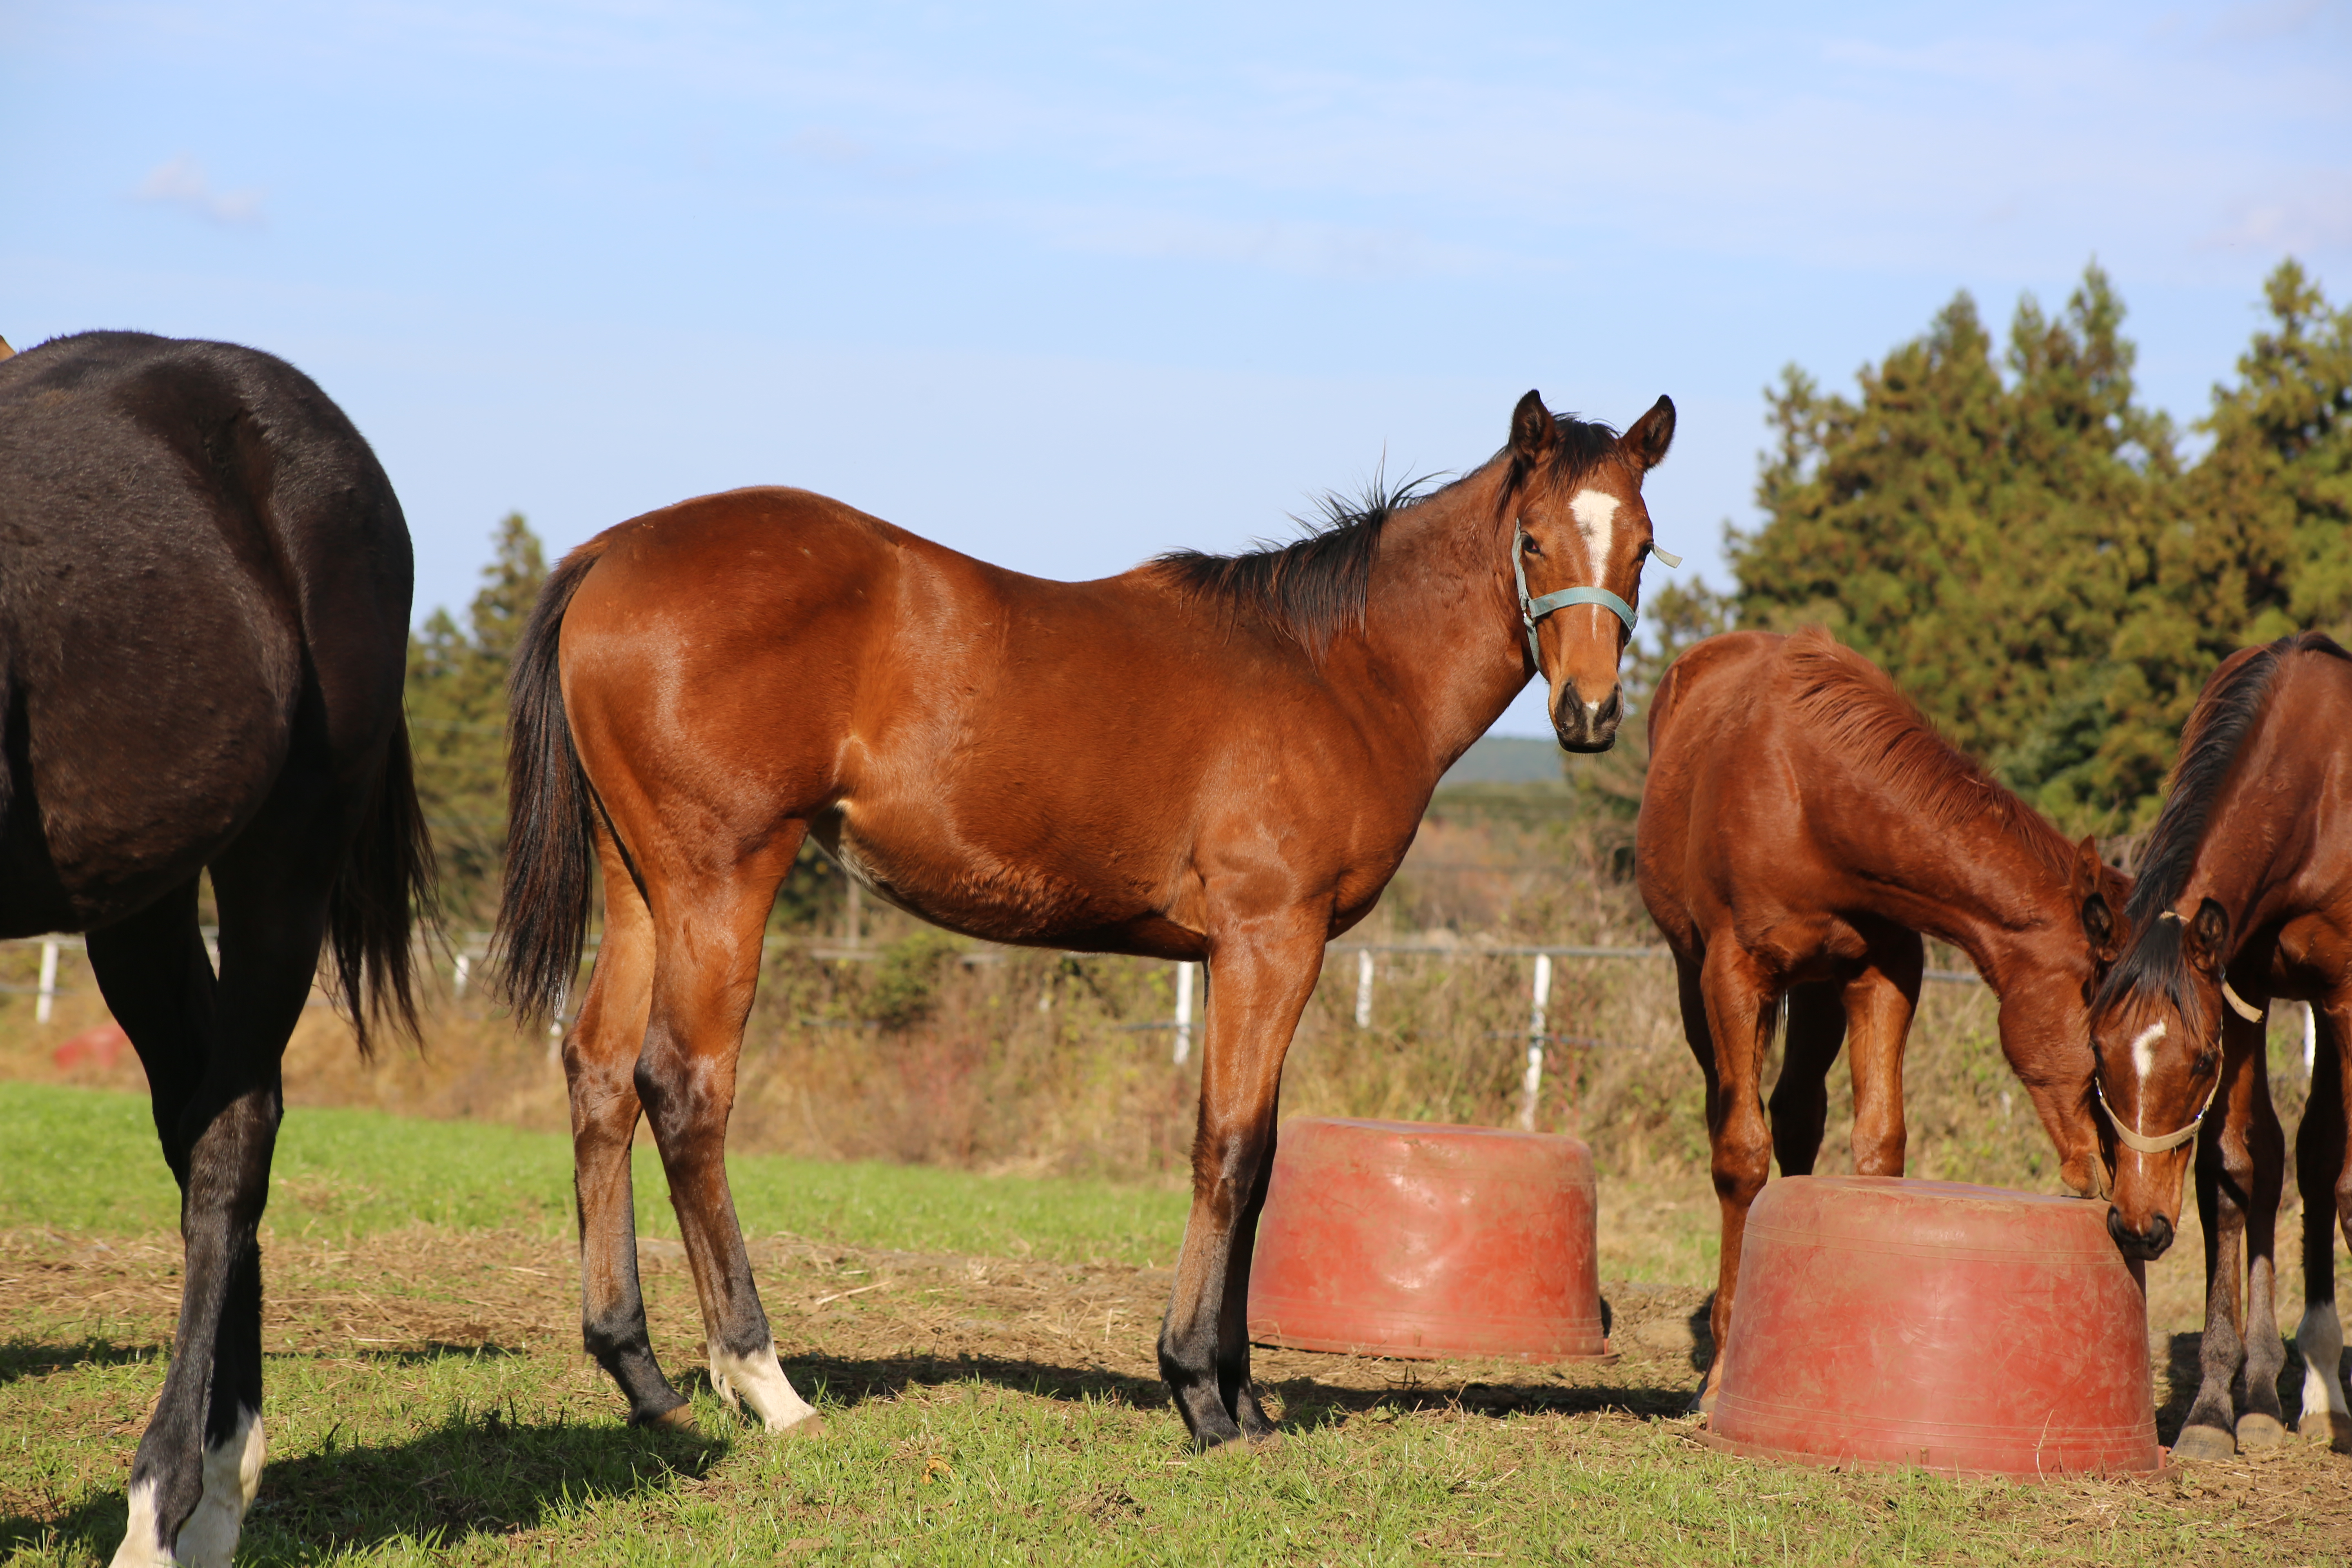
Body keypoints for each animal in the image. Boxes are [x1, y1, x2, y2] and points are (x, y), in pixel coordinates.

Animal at [0, 331, 432, 1561]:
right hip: (138, 898)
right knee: (197, 1122)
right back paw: (221, 1478)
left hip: (282, 865)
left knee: (233, 1136)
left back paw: (167, 1504)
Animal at [491, 390, 1675, 1448]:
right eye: (1532, 539)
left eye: (1644, 548)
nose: (1589, 713)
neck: (1333, 669)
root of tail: (612, 552)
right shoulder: (1267, 939)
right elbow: (1229, 1148)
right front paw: (1199, 1393)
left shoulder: (1255, 953)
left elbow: (1262, 1156)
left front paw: (1246, 1399)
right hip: (722, 879)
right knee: (684, 1088)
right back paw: (762, 1382)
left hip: (642, 887)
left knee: (600, 1075)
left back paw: (644, 1378)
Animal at [1637, 630, 2136, 1420]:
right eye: (2103, 1024)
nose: (2108, 1178)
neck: (1808, 791)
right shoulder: (1733, 976)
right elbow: (1740, 1154)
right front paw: (1717, 1382)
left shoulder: (1886, 972)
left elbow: (1877, 1145)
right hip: (1699, 983)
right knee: (1734, 1115)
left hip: (1816, 990)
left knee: (1798, 1116)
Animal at [2079, 630, 2352, 1467]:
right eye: (2096, 1051)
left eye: (2197, 1062)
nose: (2137, 1227)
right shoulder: (2244, 987)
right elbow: (2238, 1169)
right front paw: (2223, 1405)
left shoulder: (2346, 990)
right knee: (2305, 1154)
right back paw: (2301, 1387)